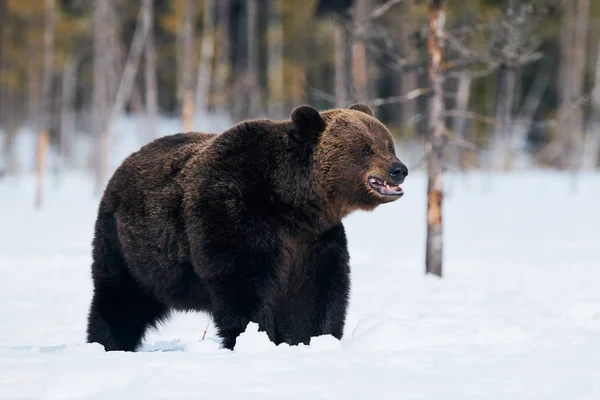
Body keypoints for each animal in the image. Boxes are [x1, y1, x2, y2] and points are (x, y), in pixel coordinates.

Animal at [85, 103, 408, 350]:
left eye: (388, 144)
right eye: (365, 149)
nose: (399, 169)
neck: (291, 203)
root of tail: (124, 164)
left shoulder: (314, 242)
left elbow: (317, 295)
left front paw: (311, 339)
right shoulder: (235, 217)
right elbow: (245, 287)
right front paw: (254, 338)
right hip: (127, 248)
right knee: (119, 299)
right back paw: (108, 343)